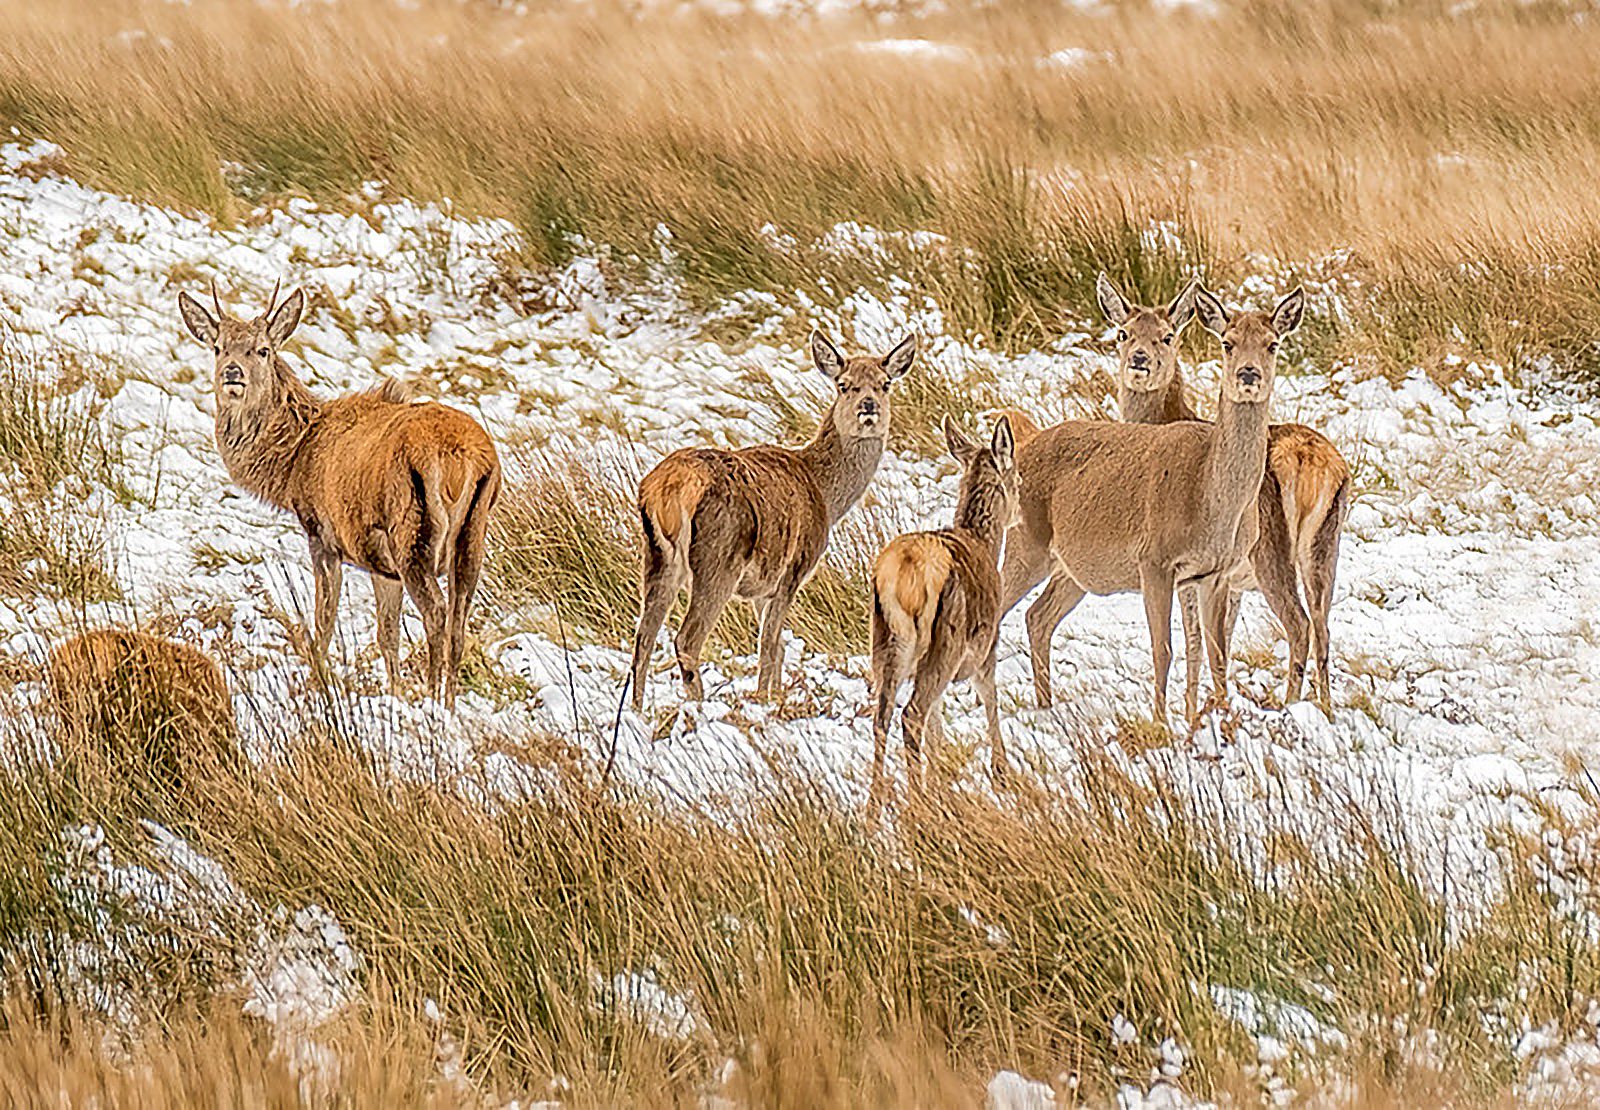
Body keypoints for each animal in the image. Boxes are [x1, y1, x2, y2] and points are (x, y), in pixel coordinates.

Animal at [178, 283, 501, 707]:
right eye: (218, 347)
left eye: (262, 349)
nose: (233, 373)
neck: (293, 463)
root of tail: (463, 460)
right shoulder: (382, 565)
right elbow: (387, 635)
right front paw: (394, 694)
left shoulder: (321, 533)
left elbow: (325, 621)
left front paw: (319, 683)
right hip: (472, 538)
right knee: (459, 621)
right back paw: (447, 702)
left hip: (413, 535)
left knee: (436, 614)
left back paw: (432, 701)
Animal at [629, 330, 916, 710]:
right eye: (844, 385)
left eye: (885, 384)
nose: (868, 405)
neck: (825, 495)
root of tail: (669, 489)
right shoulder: (792, 570)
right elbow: (769, 646)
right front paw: (767, 702)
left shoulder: (761, 590)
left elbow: (777, 646)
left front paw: (773, 694)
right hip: (718, 558)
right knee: (686, 639)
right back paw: (699, 706)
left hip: (658, 556)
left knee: (643, 635)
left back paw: (636, 709)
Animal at [869, 415, 1018, 799]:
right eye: (1018, 478)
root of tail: (904, 576)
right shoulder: (987, 643)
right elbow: (990, 696)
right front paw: (1001, 772)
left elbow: (937, 721)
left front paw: (938, 778)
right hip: (948, 638)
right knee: (911, 714)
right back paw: (917, 801)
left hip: (887, 641)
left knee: (883, 717)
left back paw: (877, 805)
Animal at [996, 286, 1305, 728]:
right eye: (1227, 343)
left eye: (1273, 344)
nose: (1248, 374)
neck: (1209, 499)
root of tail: (1022, 449)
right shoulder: (1154, 560)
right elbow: (1164, 649)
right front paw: (1162, 724)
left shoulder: (1213, 574)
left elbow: (1216, 653)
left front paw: (1218, 716)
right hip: (1026, 542)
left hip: (1073, 567)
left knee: (1037, 616)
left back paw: (1046, 707)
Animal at [1094, 272, 1350, 712]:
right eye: (1123, 333)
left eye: (1167, 336)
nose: (1139, 360)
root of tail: (1310, 462)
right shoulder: (1230, 582)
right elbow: (1222, 642)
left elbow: (1195, 640)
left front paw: (1193, 709)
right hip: (1326, 547)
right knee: (1323, 627)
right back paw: (1325, 709)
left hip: (1271, 551)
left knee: (1298, 624)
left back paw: (1290, 705)